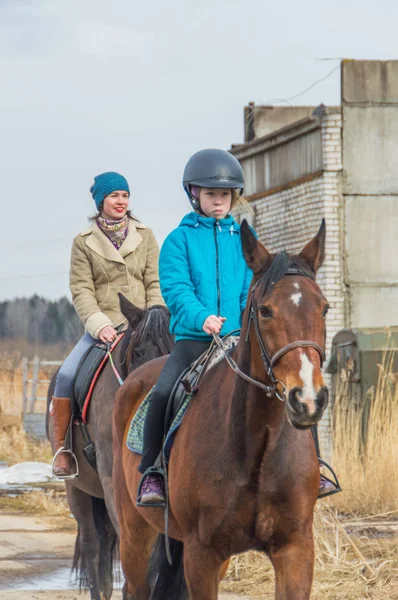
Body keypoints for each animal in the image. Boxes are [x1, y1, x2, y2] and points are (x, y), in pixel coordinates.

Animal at [112, 221, 330, 600]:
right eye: (265, 310)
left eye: (324, 308)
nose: (307, 398)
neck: (257, 445)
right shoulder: (203, 555)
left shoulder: (295, 548)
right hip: (134, 533)